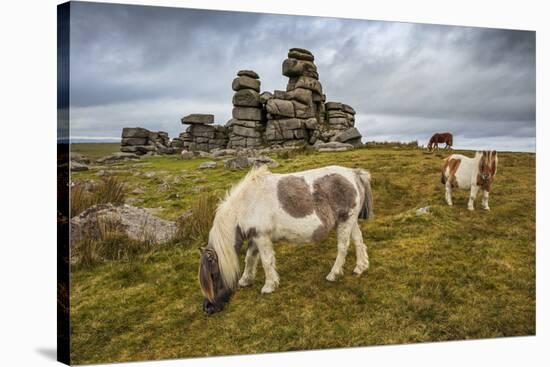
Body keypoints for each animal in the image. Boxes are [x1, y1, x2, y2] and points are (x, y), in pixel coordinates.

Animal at [198, 165, 376, 314]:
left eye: (213, 276)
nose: (208, 308)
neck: (246, 204)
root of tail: (354, 173)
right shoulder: (255, 237)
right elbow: (250, 258)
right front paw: (245, 280)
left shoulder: (262, 237)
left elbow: (266, 261)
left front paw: (269, 286)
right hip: (350, 221)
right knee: (359, 242)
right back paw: (360, 267)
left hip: (346, 221)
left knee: (343, 247)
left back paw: (334, 274)